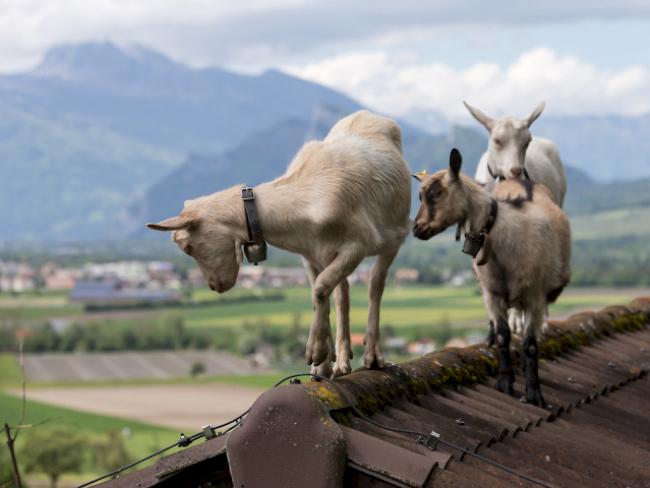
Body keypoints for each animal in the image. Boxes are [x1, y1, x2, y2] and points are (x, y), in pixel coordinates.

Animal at [149, 109, 408, 378]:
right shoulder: (310, 254)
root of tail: (368, 114)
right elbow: (321, 291)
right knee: (343, 292)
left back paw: (372, 356)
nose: (214, 286)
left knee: (375, 285)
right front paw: (322, 364)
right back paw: (342, 361)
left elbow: (321, 287)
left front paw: (315, 352)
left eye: (188, 247)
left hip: (394, 236)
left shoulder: (358, 243)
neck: (306, 196)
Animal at [412, 150, 568, 408]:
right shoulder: (493, 294)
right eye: (420, 195)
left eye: (437, 193)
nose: (417, 229)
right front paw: (505, 382)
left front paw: (534, 393)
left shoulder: (534, 295)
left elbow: (530, 344)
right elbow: (504, 336)